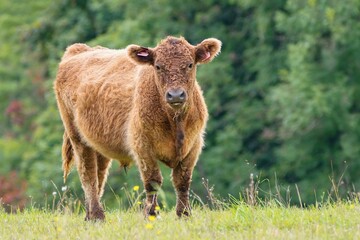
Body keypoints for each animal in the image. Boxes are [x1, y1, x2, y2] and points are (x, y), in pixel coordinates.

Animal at [54, 34, 221, 220]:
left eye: (190, 64)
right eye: (158, 66)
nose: (176, 95)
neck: (175, 122)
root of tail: (79, 50)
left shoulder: (193, 145)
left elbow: (182, 181)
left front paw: (184, 214)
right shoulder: (142, 145)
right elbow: (153, 181)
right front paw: (150, 214)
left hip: (98, 142)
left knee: (99, 175)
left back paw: (90, 216)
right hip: (76, 136)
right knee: (88, 174)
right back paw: (97, 216)